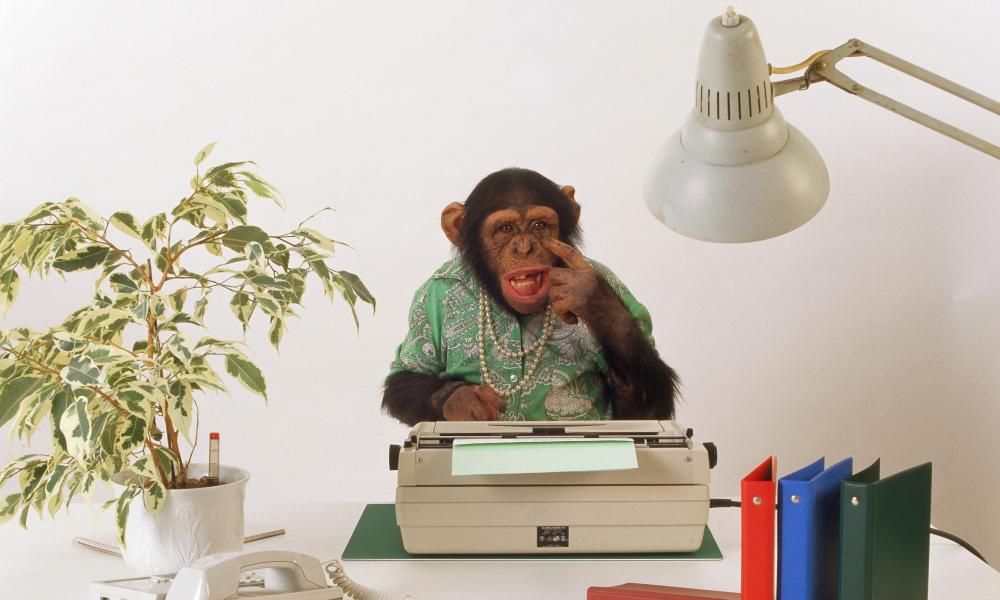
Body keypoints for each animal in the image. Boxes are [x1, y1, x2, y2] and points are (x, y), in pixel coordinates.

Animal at [382, 168, 678, 425]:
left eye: (539, 225)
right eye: (506, 229)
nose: (524, 248)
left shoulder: (617, 286)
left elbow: (644, 412)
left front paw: (593, 301)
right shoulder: (427, 294)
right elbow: (405, 374)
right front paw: (463, 399)